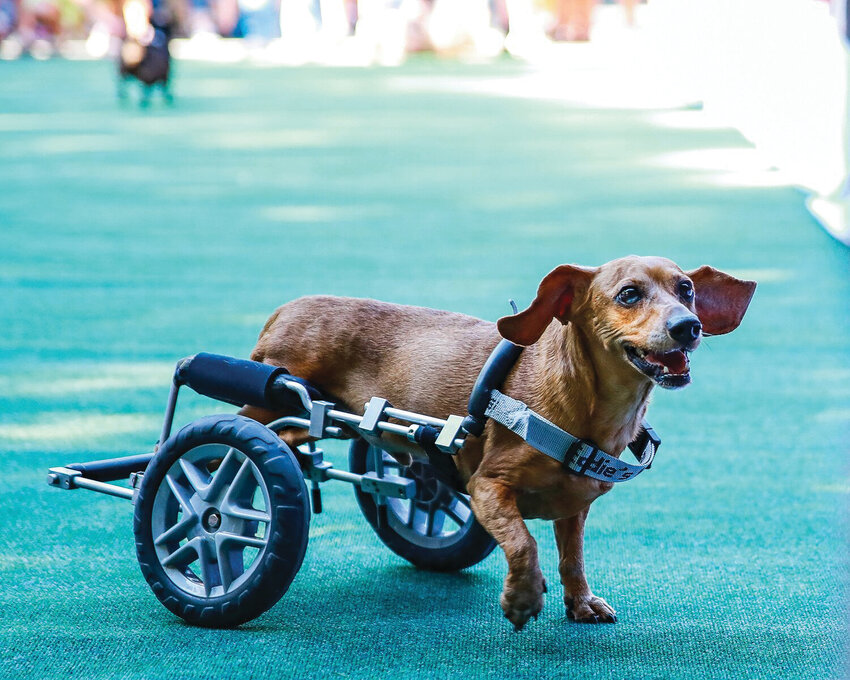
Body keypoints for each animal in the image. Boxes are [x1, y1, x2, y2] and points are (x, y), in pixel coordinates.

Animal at [242, 256, 752, 632]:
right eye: (629, 294)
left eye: (686, 290)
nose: (689, 326)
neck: (589, 412)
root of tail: (284, 311)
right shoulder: (487, 487)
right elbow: (524, 543)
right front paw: (521, 598)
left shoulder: (574, 506)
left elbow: (573, 557)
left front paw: (581, 603)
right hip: (271, 403)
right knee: (251, 442)